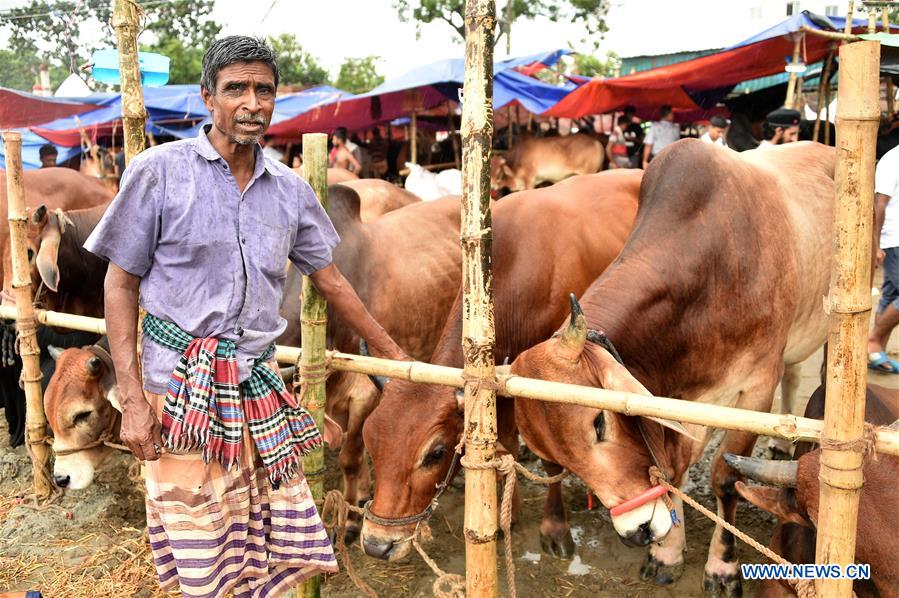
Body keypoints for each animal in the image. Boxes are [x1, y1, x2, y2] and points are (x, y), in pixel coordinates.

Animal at [356, 172, 640, 564]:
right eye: (370, 440)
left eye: (435, 454)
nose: (377, 544)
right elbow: (504, 442)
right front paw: (508, 510)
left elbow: (552, 462)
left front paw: (555, 529)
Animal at [506, 139, 836, 596]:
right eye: (553, 458)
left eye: (599, 423)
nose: (638, 532)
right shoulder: (675, 399)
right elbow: (674, 472)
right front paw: (666, 555)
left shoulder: (755, 390)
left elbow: (725, 479)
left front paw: (722, 567)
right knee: (794, 373)